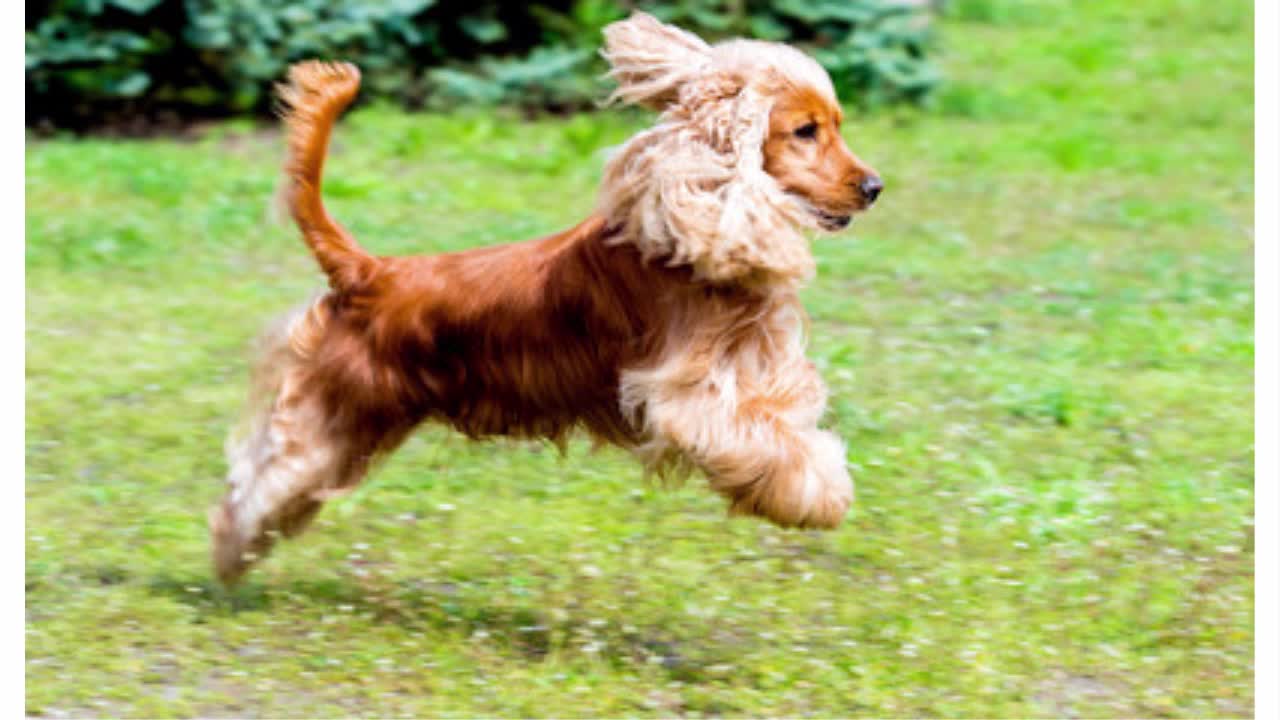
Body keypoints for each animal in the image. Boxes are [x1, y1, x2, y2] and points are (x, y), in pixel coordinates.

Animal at [209, 11, 880, 584]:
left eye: (837, 125)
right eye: (804, 131)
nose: (874, 186)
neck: (690, 230)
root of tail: (370, 271)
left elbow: (785, 422)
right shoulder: (686, 398)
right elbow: (769, 444)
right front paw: (822, 497)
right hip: (333, 412)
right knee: (259, 483)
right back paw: (229, 555)